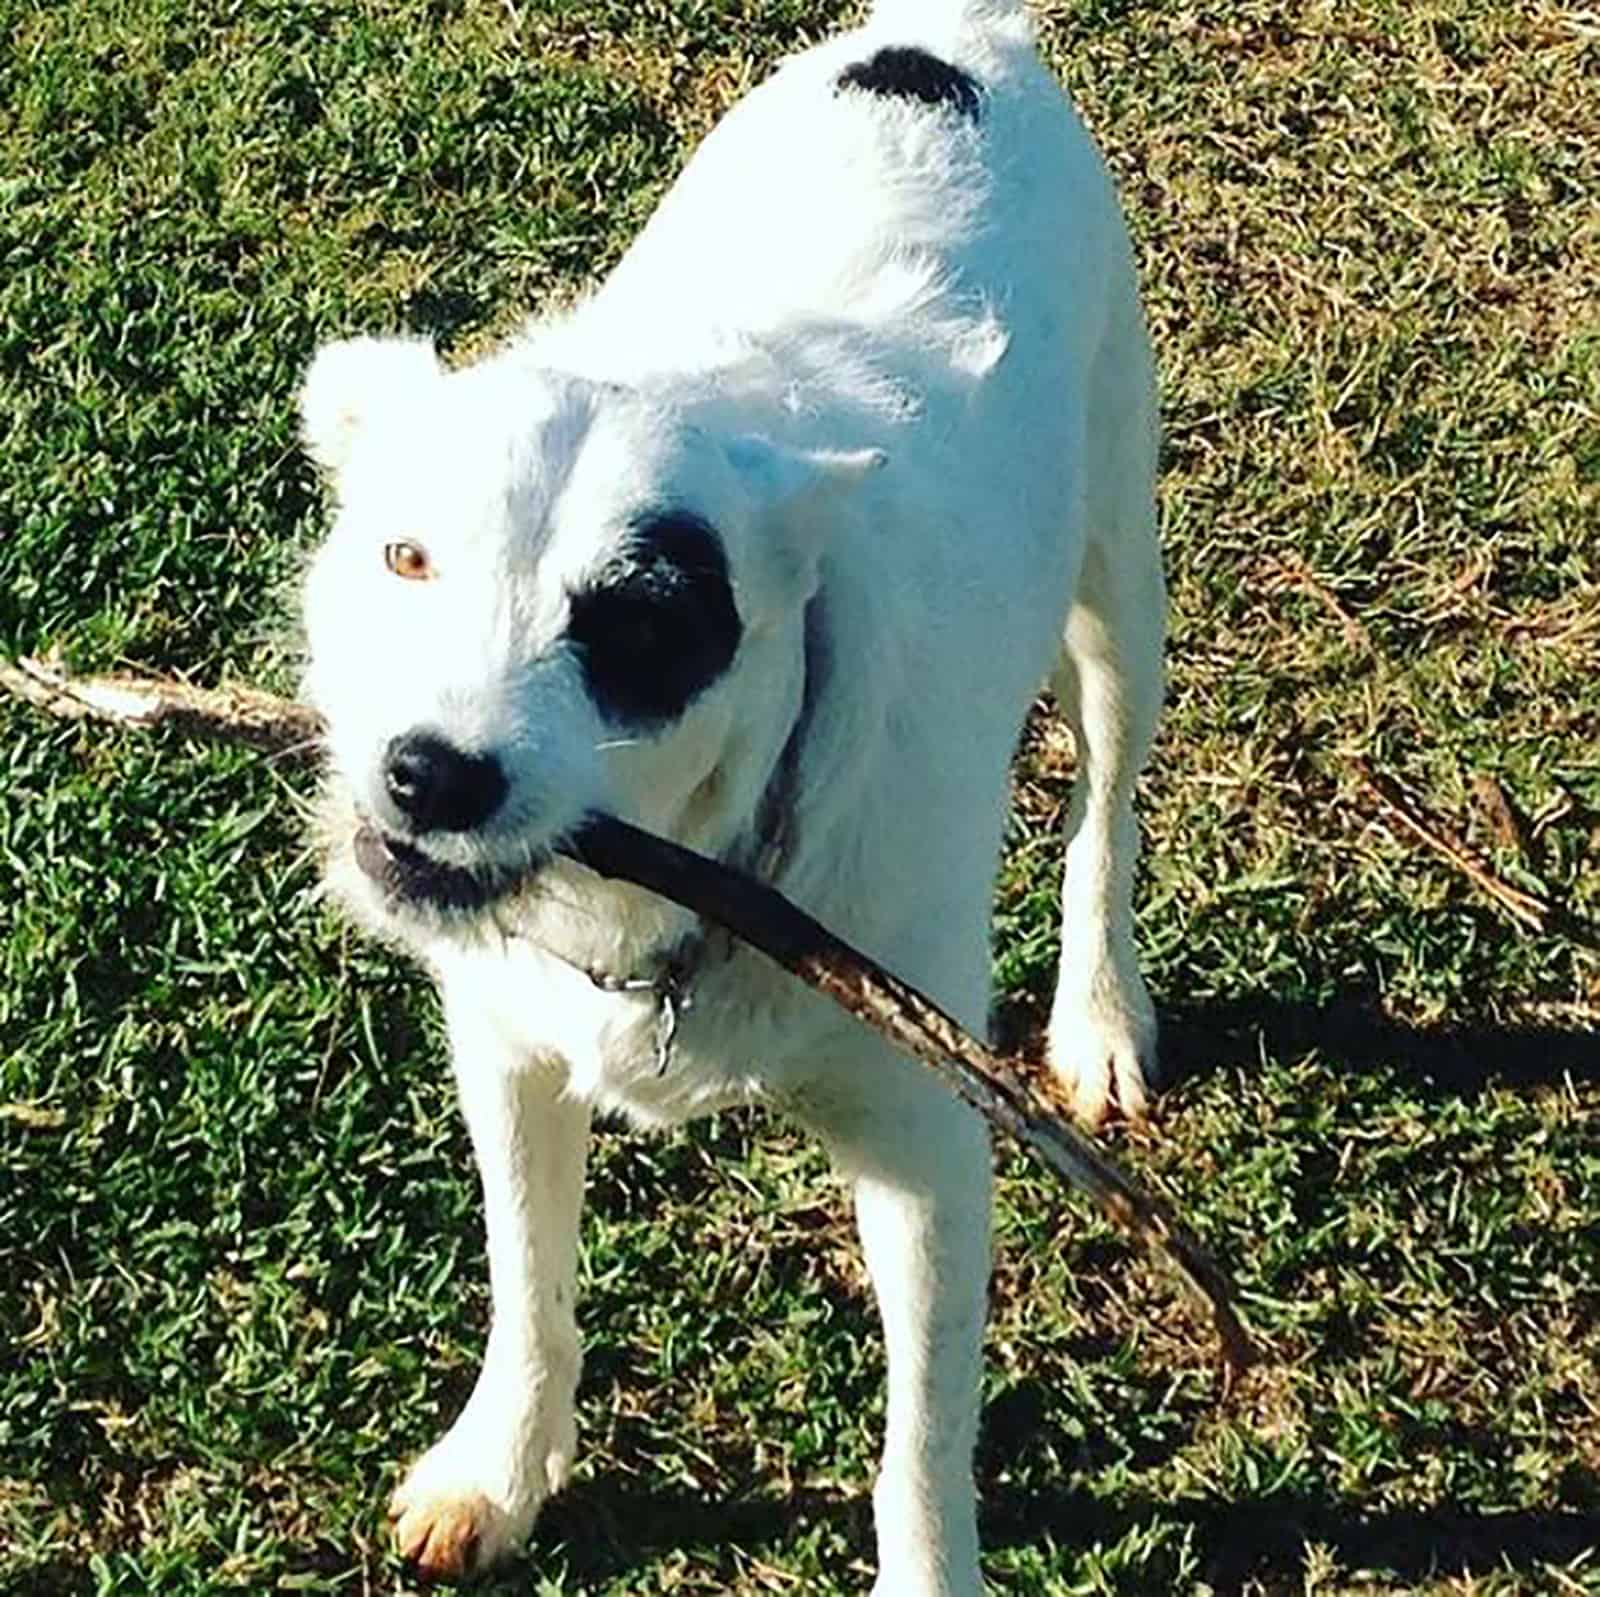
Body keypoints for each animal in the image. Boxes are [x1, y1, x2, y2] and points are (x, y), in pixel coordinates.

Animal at [294, 6, 1158, 1593]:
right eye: (405, 559)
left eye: (642, 625)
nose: (431, 773)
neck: (664, 881)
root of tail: (947, 37)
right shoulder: (508, 1048)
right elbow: (526, 1277)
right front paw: (501, 1464)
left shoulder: (925, 1149)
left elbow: (923, 1439)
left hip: (1121, 597)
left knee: (1104, 823)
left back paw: (1101, 1015)